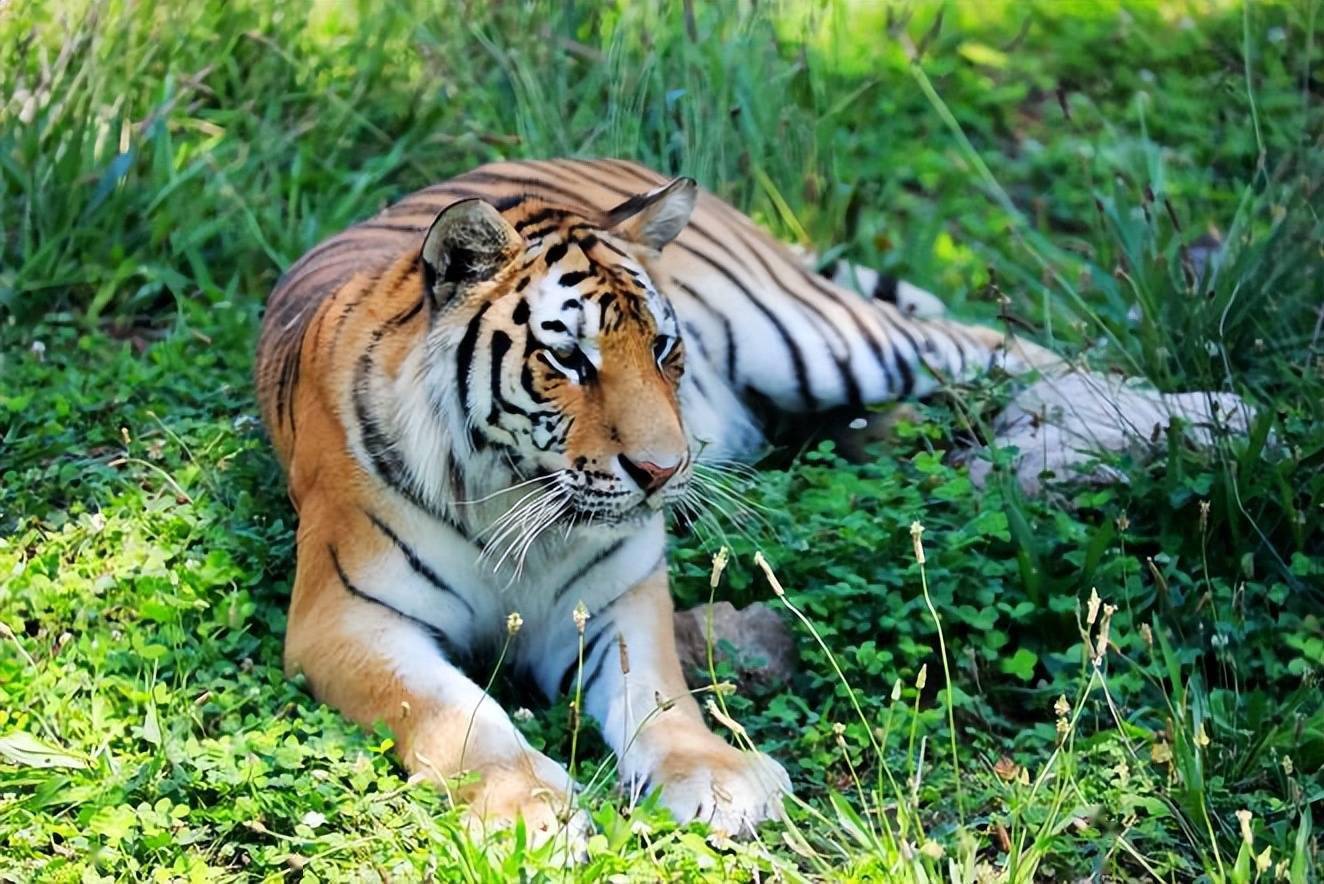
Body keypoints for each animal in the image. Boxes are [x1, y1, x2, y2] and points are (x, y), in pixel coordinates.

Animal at [255, 155, 1064, 846]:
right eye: (568, 358)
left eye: (664, 349)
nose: (663, 469)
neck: (514, 496)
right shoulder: (349, 618)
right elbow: (458, 716)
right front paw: (527, 810)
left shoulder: (616, 596)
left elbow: (657, 693)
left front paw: (721, 778)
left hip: (820, 340)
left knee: (979, 339)